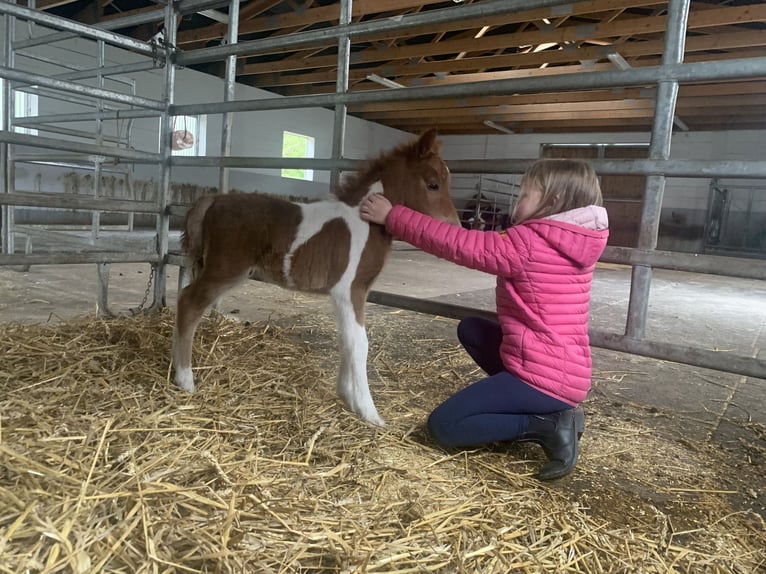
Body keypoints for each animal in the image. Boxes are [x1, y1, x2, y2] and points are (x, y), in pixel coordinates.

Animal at [172, 130, 460, 428]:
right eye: (433, 184)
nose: (454, 226)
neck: (364, 221)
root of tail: (214, 200)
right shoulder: (351, 290)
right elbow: (360, 343)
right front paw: (370, 413)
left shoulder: (345, 294)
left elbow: (347, 339)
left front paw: (347, 396)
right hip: (225, 270)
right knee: (189, 303)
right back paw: (185, 379)